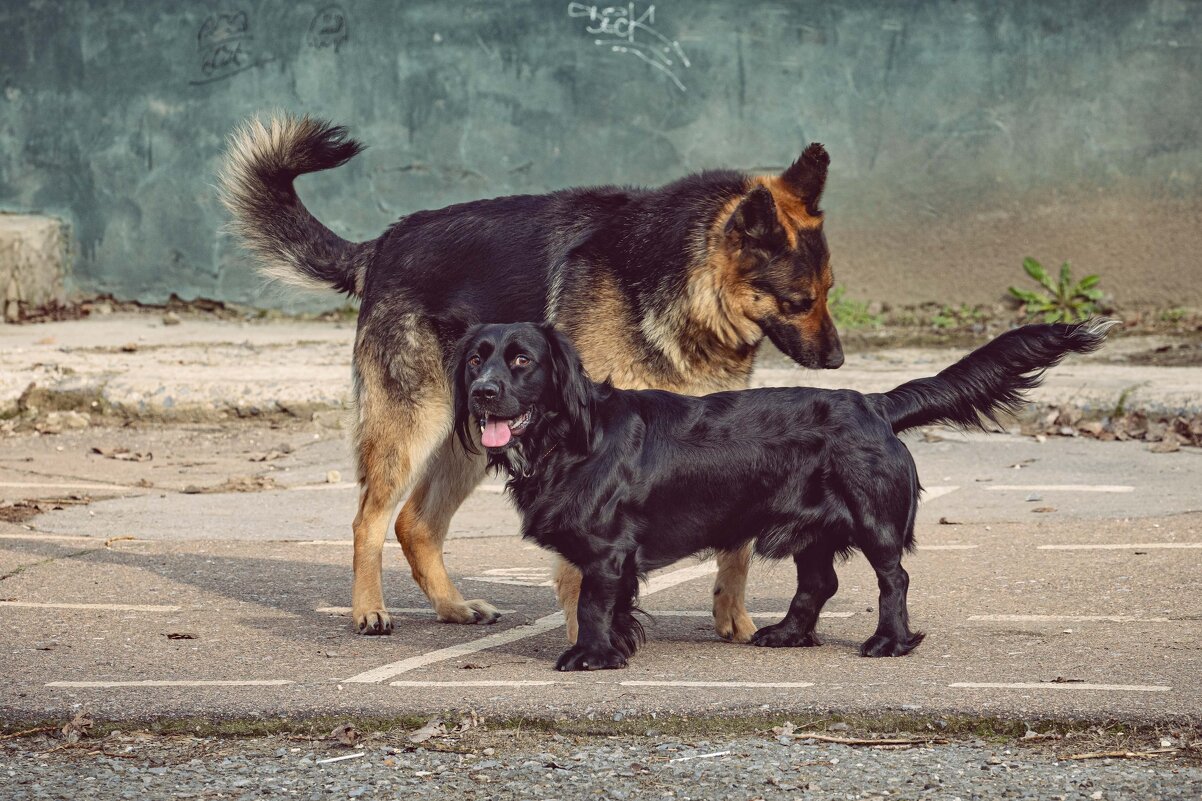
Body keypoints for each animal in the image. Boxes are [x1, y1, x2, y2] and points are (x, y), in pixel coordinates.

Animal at [223, 113, 846, 635]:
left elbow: (735, 546)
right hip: (412, 430)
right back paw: (369, 610)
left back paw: (452, 606)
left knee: (416, 524)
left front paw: (732, 618)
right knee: (369, 522)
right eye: (798, 301)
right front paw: (585, 635)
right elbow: (579, 567)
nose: (838, 361)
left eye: (827, 292)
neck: (674, 278)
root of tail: (382, 244)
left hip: (477, 435)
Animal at [454, 317, 1110, 668]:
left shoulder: (609, 549)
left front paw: (591, 655)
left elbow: (592, 603)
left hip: (874, 518)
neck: (568, 437)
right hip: (810, 527)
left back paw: (889, 642)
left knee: (893, 578)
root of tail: (874, 403)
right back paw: (789, 634)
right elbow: (611, 607)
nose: (483, 393)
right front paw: (616, 647)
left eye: (521, 360)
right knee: (819, 582)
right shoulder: (615, 558)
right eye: (475, 361)